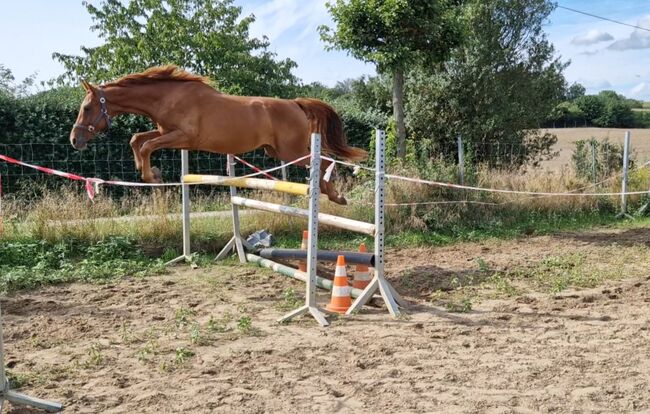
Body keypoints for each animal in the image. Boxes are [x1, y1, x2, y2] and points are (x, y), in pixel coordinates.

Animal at [72, 64, 364, 204]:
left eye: (86, 108)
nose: (74, 140)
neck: (167, 97)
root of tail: (295, 103)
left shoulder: (184, 137)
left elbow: (146, 145)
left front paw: (152, 176)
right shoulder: (165, 131)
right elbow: (138, 140)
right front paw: (150, 171)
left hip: (292, 151)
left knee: (325, 163)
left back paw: (336, 197)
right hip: (278, 151)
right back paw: (329, 194)